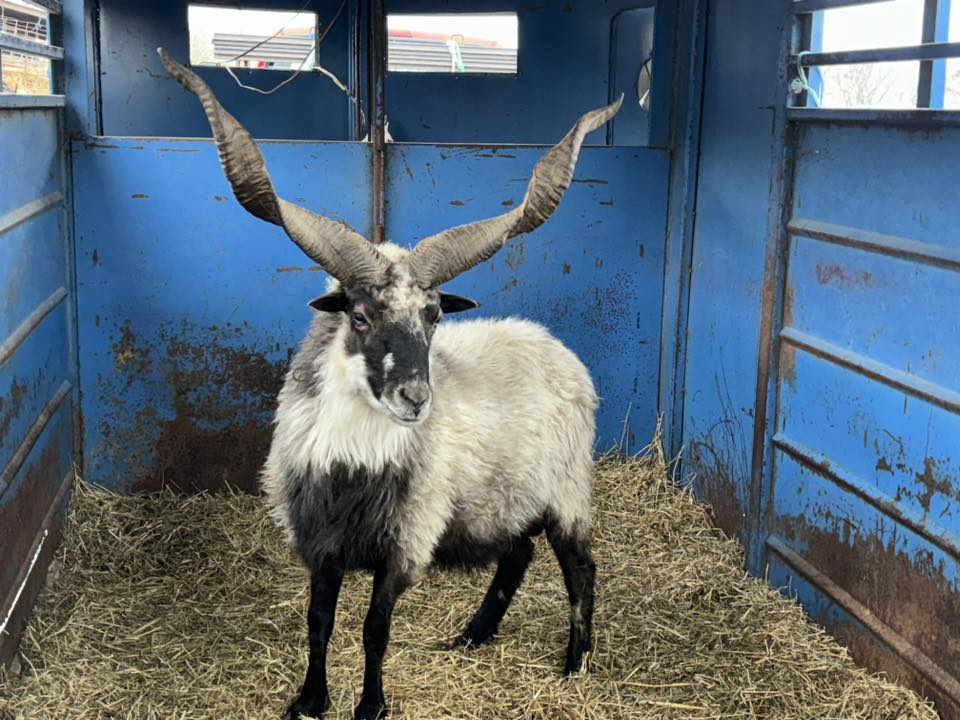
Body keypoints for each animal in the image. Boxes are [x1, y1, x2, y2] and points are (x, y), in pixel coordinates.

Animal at [159, 49, 621, 720]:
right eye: (358, 315)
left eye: (433, 317)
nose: (415, 400)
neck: (356, 453)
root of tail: (554, 346)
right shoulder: (320, 543)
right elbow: (318, 624)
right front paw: (309, 700)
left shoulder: (404, 544)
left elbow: (374, 630)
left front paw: (370, 705)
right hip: (503, 499)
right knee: (517, 554)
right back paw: (473, 635)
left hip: (565, 492)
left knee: (580, 568)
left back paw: (573, 664)